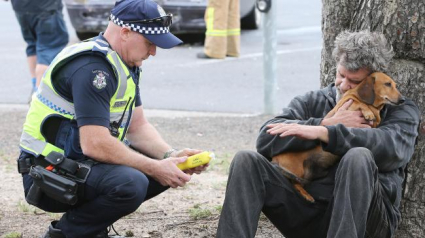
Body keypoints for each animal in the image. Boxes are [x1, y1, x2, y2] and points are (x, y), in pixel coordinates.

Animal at [272, 71, 404, 202]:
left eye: (395, 85)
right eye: (387, 84)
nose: (402, 100)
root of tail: (274, 159)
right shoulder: (346, 106)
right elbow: (359, 103)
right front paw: (368, 112)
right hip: (297, 170)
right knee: (294, 183)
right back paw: (306, 195)